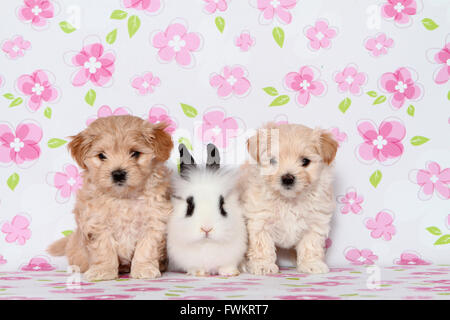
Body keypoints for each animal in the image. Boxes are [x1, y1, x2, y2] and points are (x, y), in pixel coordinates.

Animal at [48, 115, 172, 280]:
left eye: (135, 153)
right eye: (102, 156)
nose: (118, 174)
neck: (123, 197)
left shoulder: (154, 221)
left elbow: (146, 248)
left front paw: (144, 269)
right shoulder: (97, 223)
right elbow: (104, 250)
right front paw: (103, 271)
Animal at [167, 144, 248, 276]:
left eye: (222, 205)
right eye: (189, 207)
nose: (206, 229)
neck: (206, 244)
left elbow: (227, 266)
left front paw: (230, 273)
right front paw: (198, 273)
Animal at [239, 122, 338, 276]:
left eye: (305, 161)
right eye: (273, 160)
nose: (287, 178)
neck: (289, 200)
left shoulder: (315, 222)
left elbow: (311, 245)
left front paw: (311, 264)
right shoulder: (259, 220)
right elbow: (262, 245)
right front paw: (263, 265)